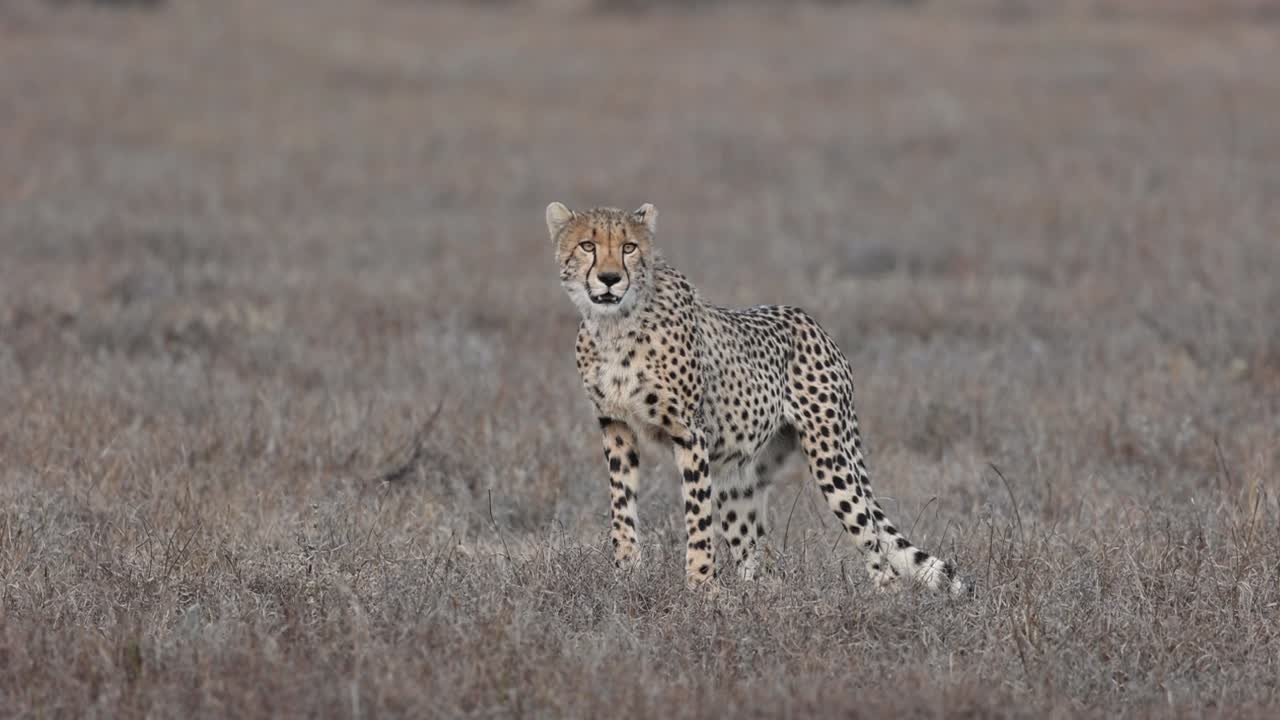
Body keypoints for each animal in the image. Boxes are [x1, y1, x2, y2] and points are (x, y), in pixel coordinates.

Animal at [547, 201, 964, 595]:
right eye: (588, 246)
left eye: (629, 247)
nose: (610, 278)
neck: (613, 325)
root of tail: (811, 321)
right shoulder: (615, 426)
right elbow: (622, 507)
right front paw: (627, 576)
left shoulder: (689, 431)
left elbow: (697, 515)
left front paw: (702, 587)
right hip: (739, 473)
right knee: (750, 548)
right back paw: (753, 594)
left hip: (830, 457)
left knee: (874, 543)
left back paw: (883, 599)